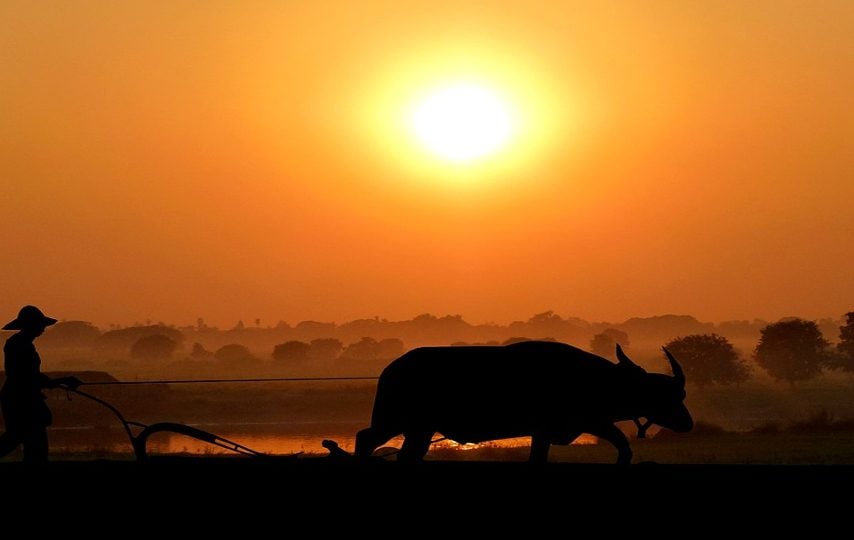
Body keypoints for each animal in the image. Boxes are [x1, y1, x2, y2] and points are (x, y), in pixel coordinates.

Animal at [356, 342, 696, 464]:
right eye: (664, 396)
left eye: (680, 396)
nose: (687, 422)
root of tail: (392, 369)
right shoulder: (545, 430)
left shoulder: (591, 422)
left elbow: (622, 445)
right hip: (397, 421)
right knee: (365, 438)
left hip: (420, 429)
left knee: (405, 455)